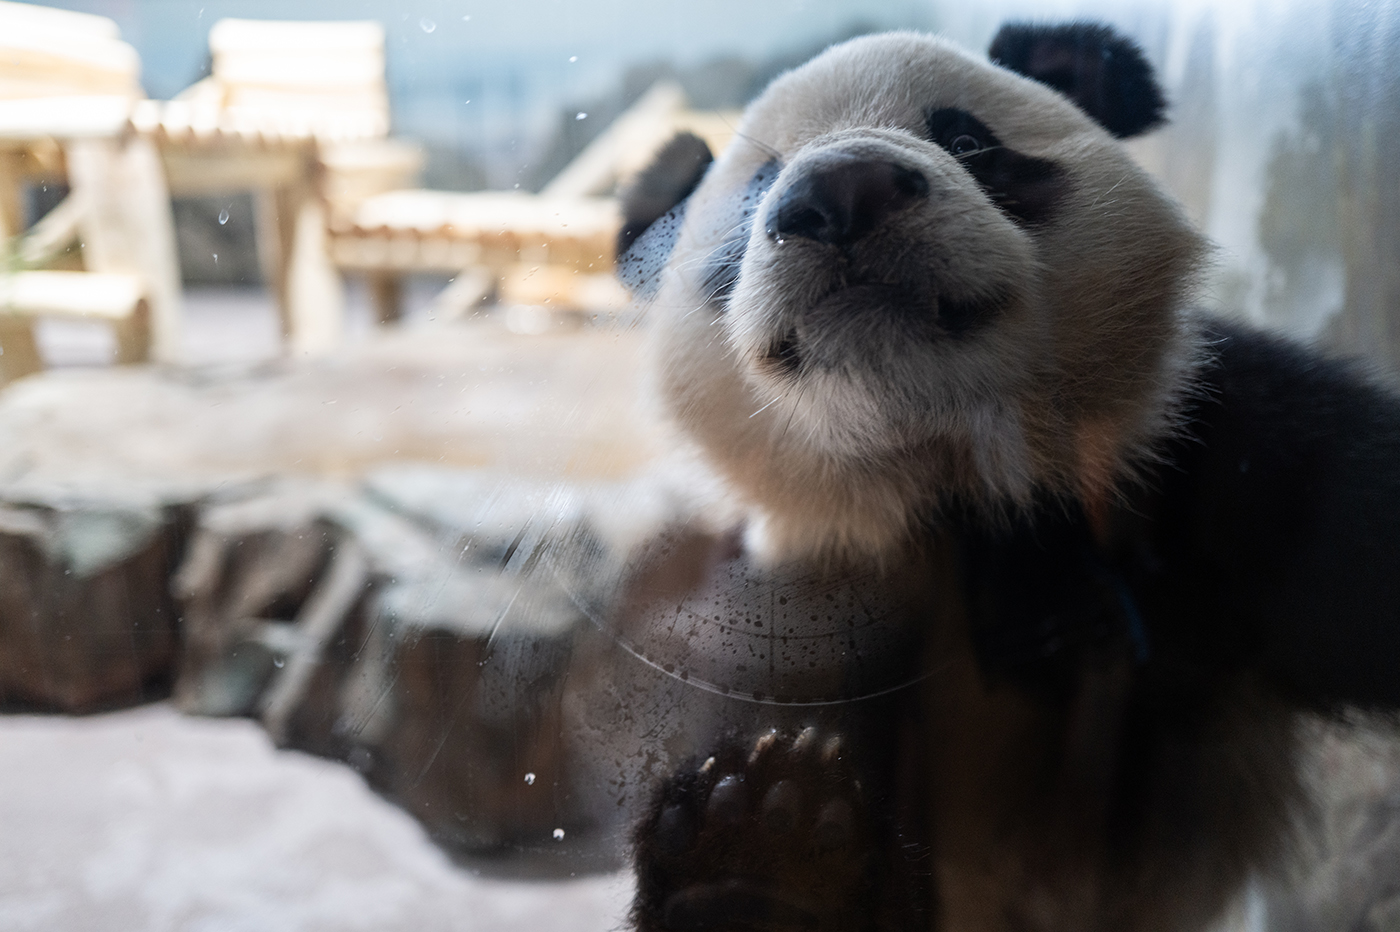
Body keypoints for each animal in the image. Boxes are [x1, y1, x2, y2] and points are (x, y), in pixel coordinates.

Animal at [607, 21, 1400, 929]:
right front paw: (761, 835)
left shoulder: (1206, 460)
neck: (955, 474)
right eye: (757, 192)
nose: (844, 190)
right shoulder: (800, 596)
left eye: (968, 142)